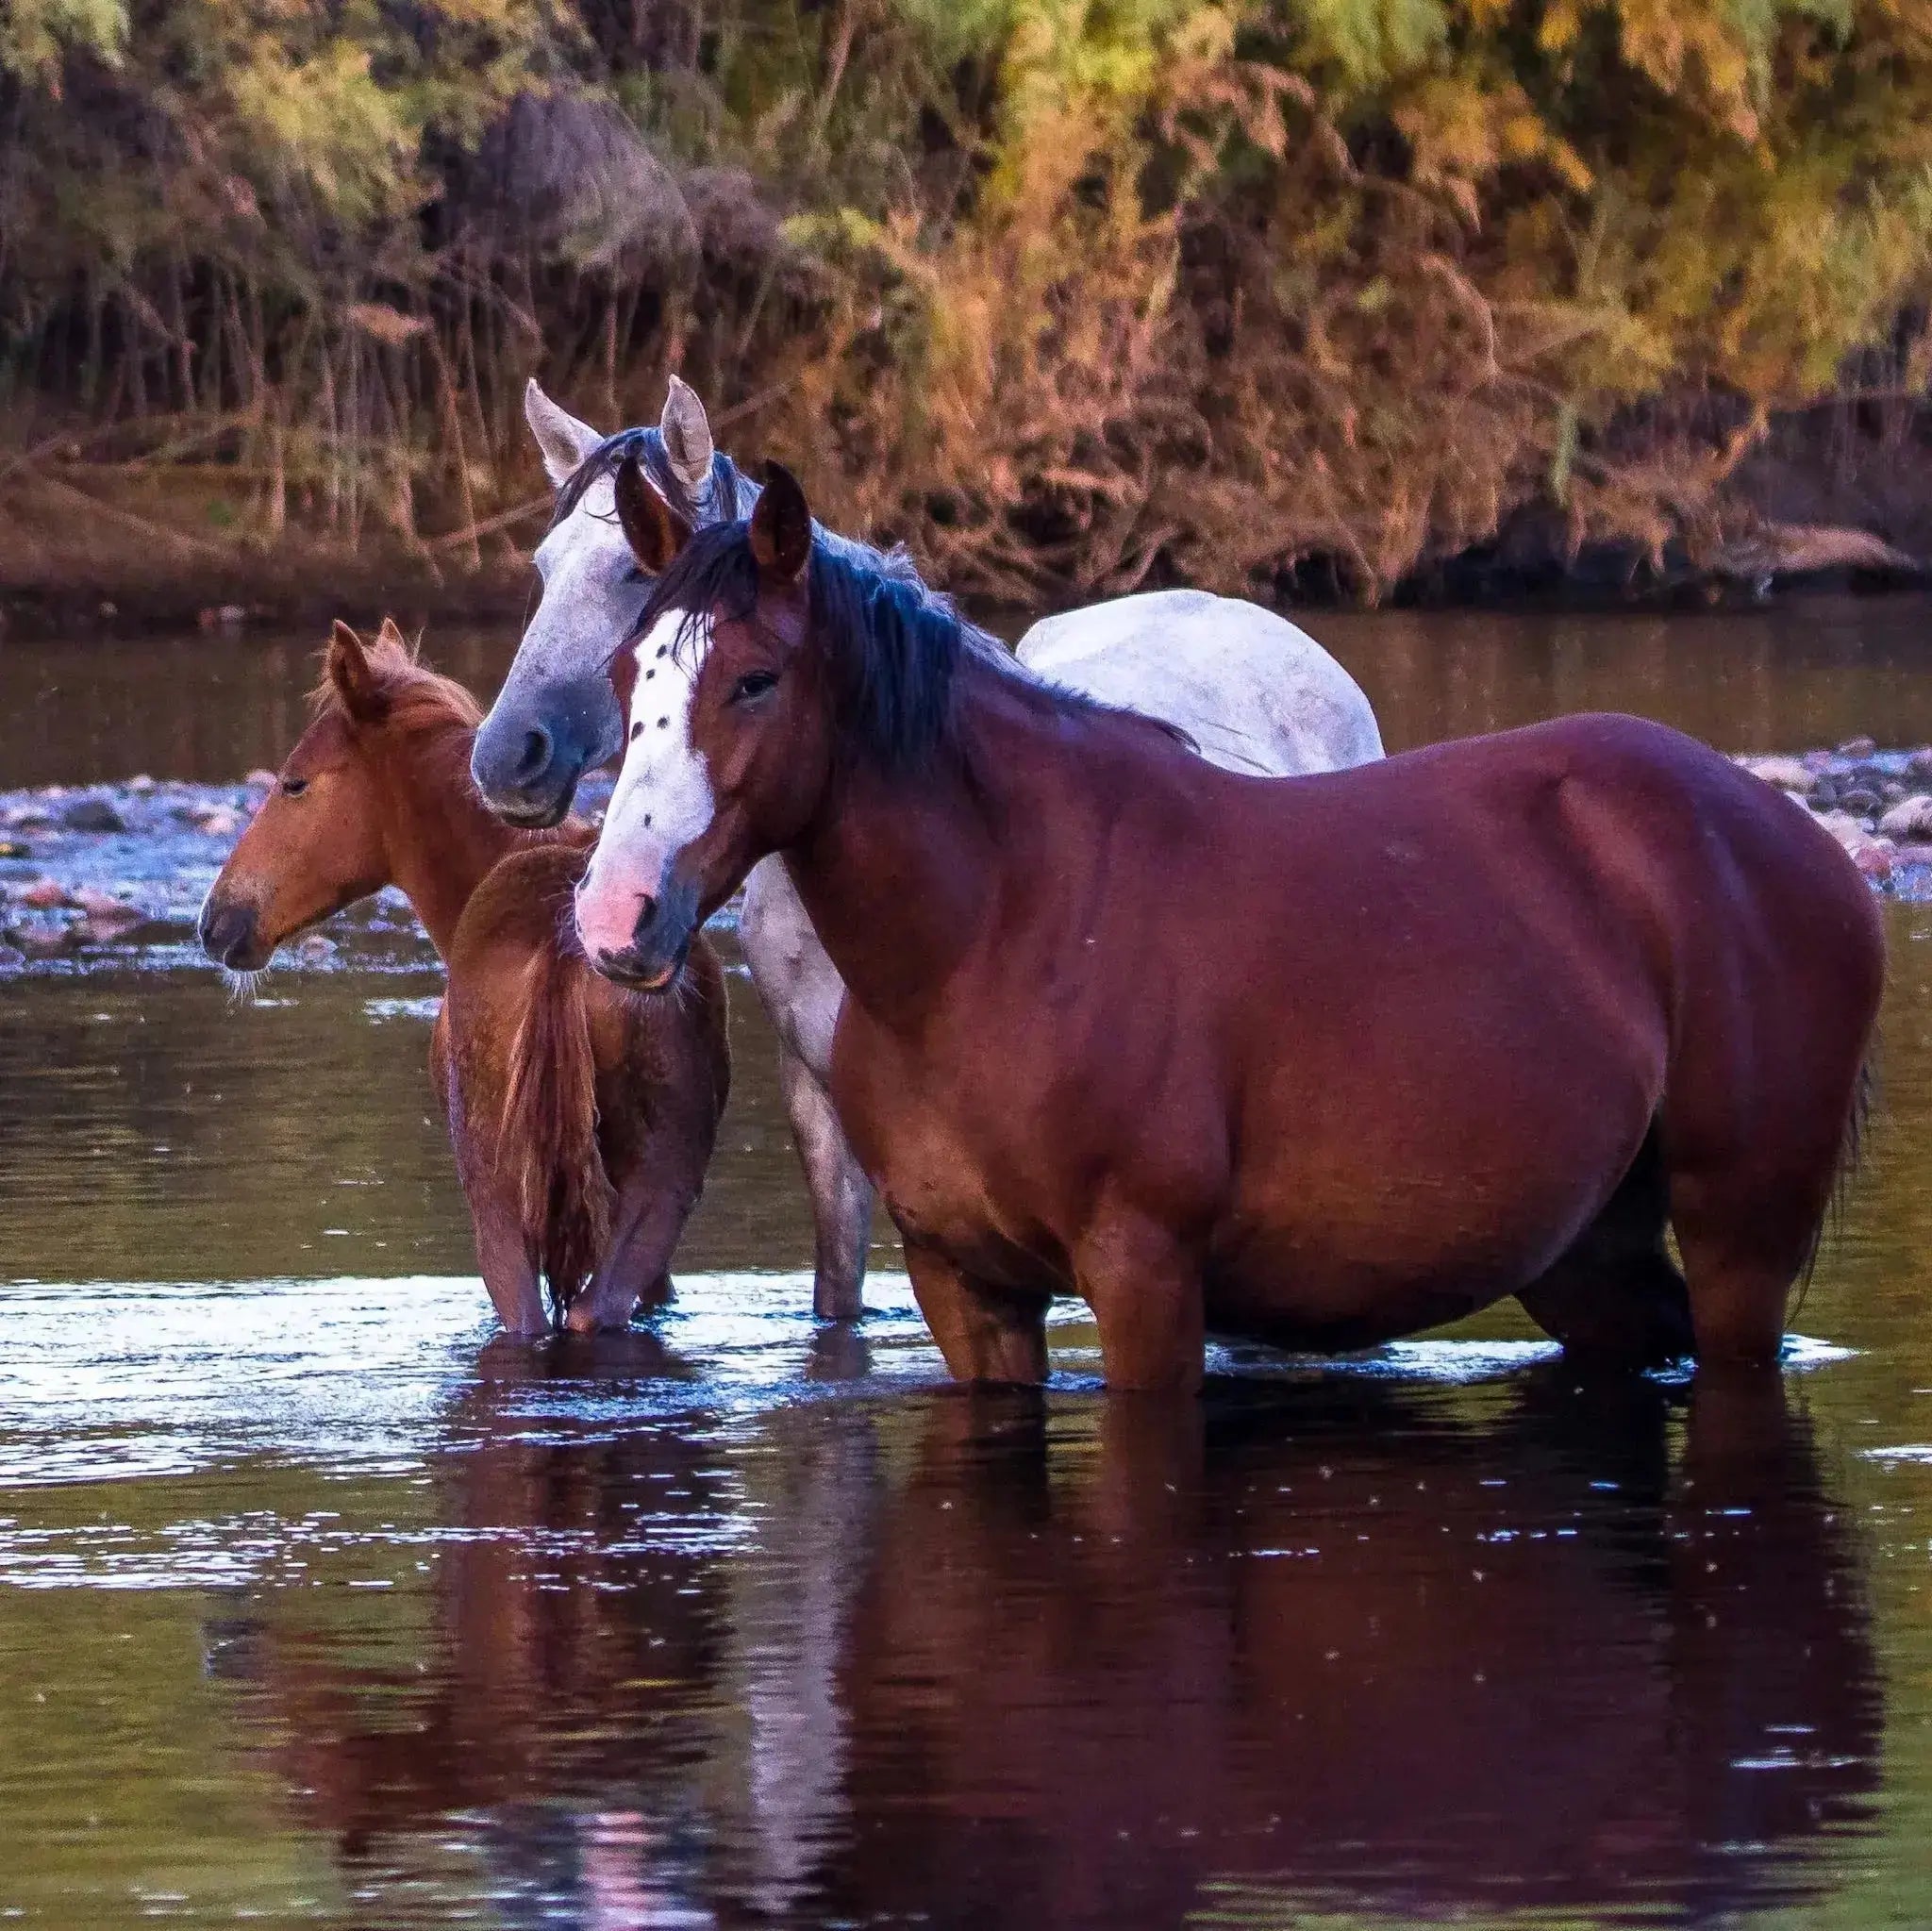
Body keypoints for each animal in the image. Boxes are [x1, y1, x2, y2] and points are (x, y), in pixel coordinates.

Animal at [575, 464, 1884, 1393]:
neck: (1000, 930)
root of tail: (1796, 840)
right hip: (1585, 1251)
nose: (614, 913)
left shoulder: (1144, 1276)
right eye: (626, 673)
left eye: (754, 680)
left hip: (1740, 1237)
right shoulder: (967, 1290)